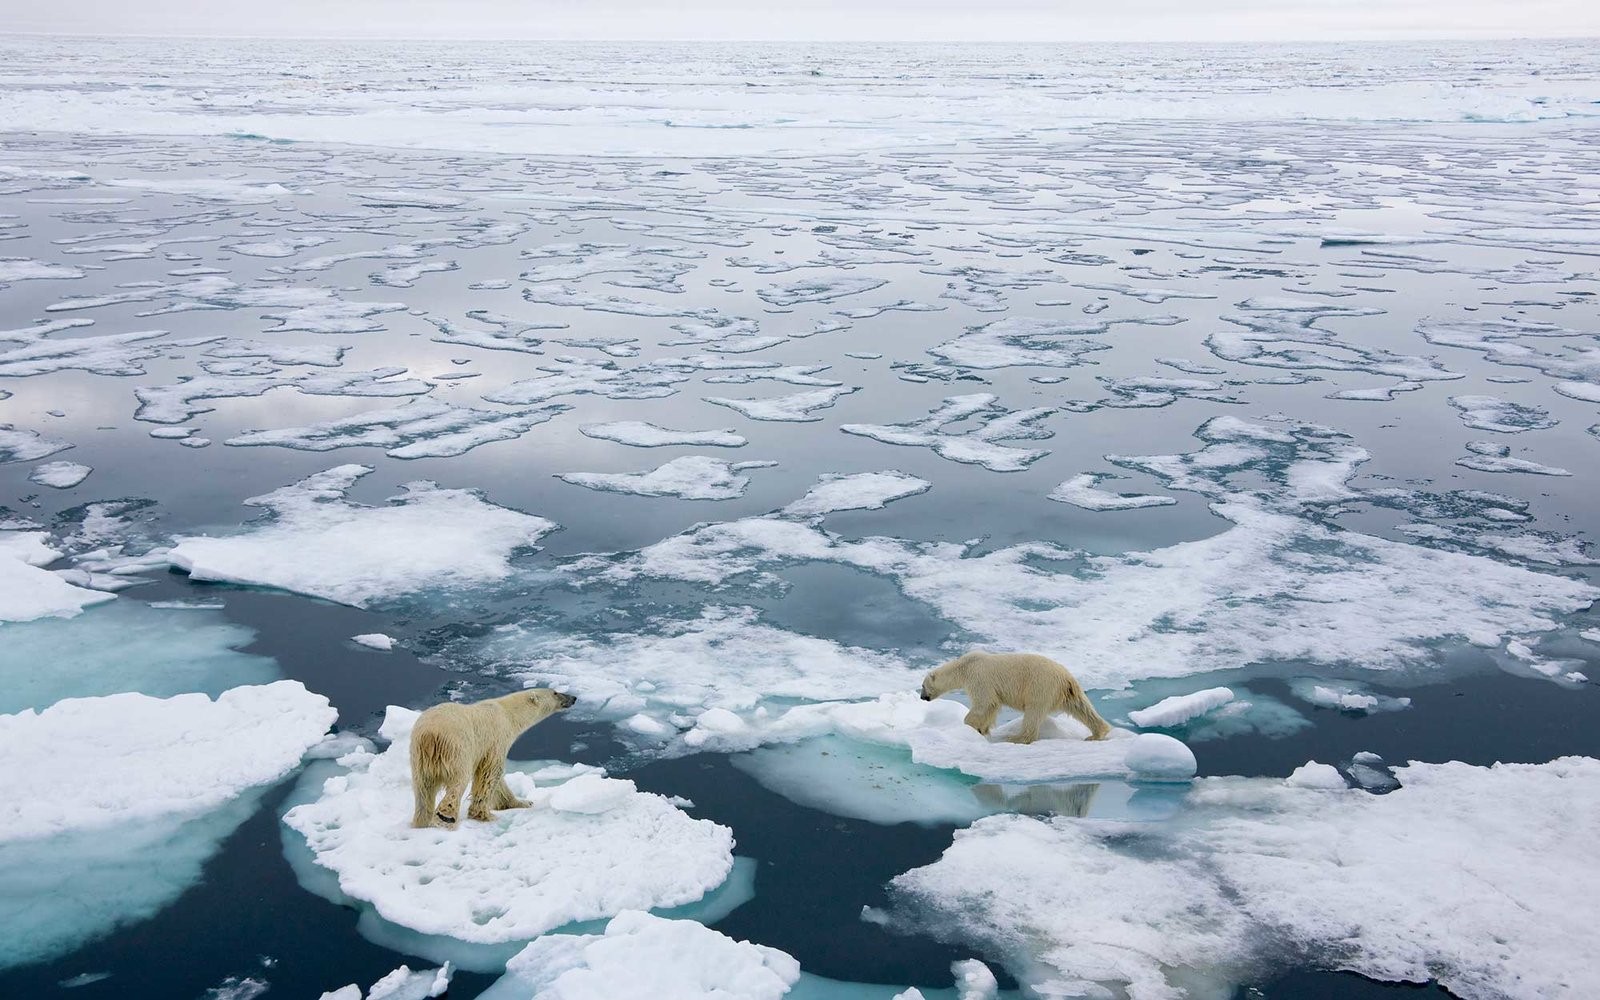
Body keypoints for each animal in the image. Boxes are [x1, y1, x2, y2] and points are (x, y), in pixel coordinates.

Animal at [409, 684, 579, 825]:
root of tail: (430, 735)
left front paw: (523, 803)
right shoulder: (496, 739)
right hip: (456, 749)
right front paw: (484, 814)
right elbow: (491, 773)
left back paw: (421, 820)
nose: (574, 698)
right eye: (555, 692)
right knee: (459, 780)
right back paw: (446, 816)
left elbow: (497, 781)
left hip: (419, 758)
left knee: (423, 789)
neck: (507, 713)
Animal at [921, 652, 1107, 745]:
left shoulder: (979, 678)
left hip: (1040, 686)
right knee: (1082, 708)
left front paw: (971, 726)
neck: (965, 666)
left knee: (1033, 712)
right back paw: (1097, 733)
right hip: (1069, 692)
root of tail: (1066, 677)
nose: (922, 697)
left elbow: (984, 703)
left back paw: (1018, 738)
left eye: (922, 686)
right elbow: (992, 706)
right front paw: (983, 729)